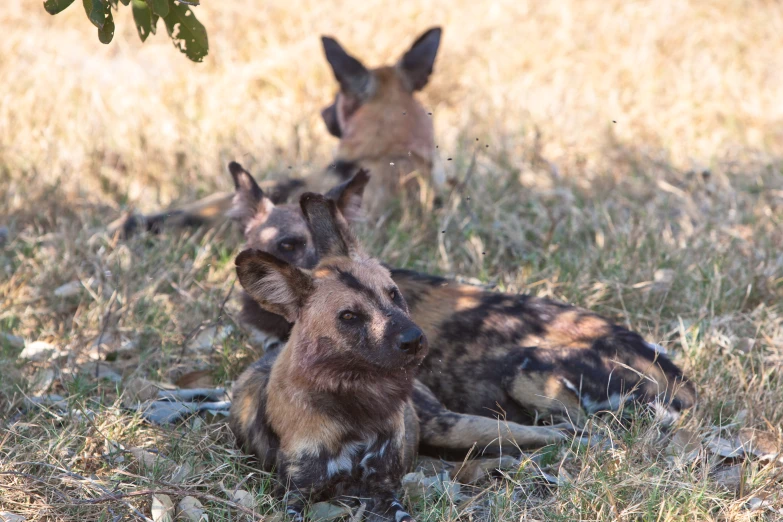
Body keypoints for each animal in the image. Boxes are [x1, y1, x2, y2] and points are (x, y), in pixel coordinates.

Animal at [230, 193, 560, 516]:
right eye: (349, 316)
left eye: (393, 293)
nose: (413, 340)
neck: (355, 401)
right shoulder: (293, 495)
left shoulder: (383, 490)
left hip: (455, 428)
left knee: (535, 434)